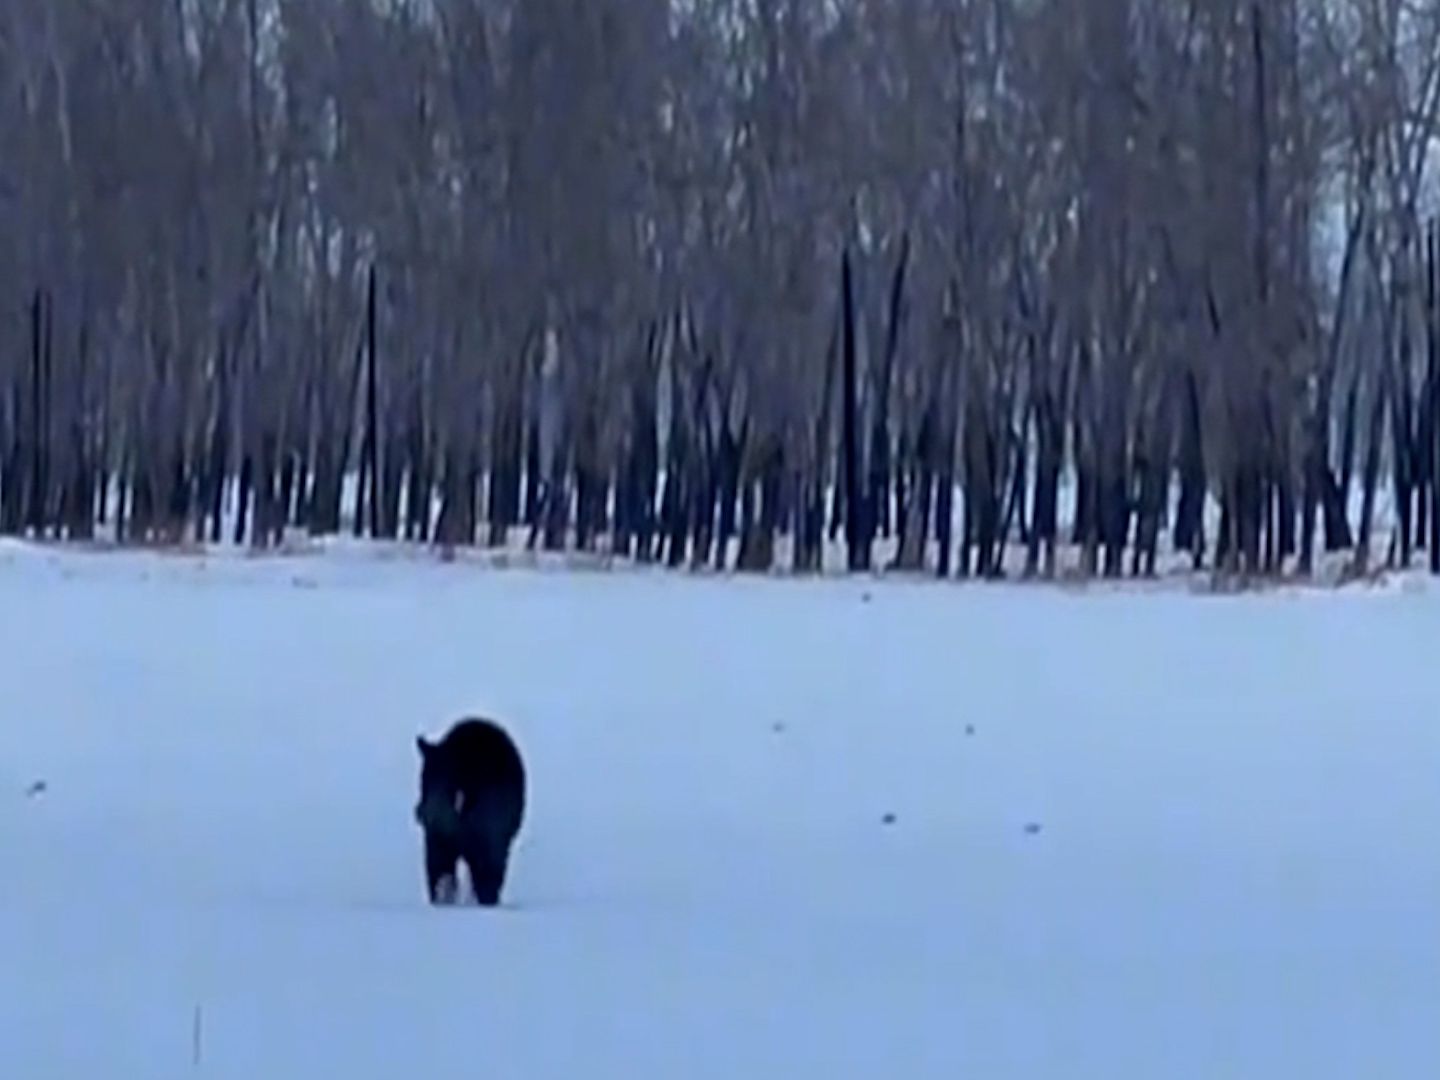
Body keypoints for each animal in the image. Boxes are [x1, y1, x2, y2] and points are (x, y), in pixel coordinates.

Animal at [414, 722, 527, 910]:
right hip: (486, 834)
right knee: (487, 875)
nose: (418, 813)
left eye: (422, 781)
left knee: (441, 870)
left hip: (440, 832)